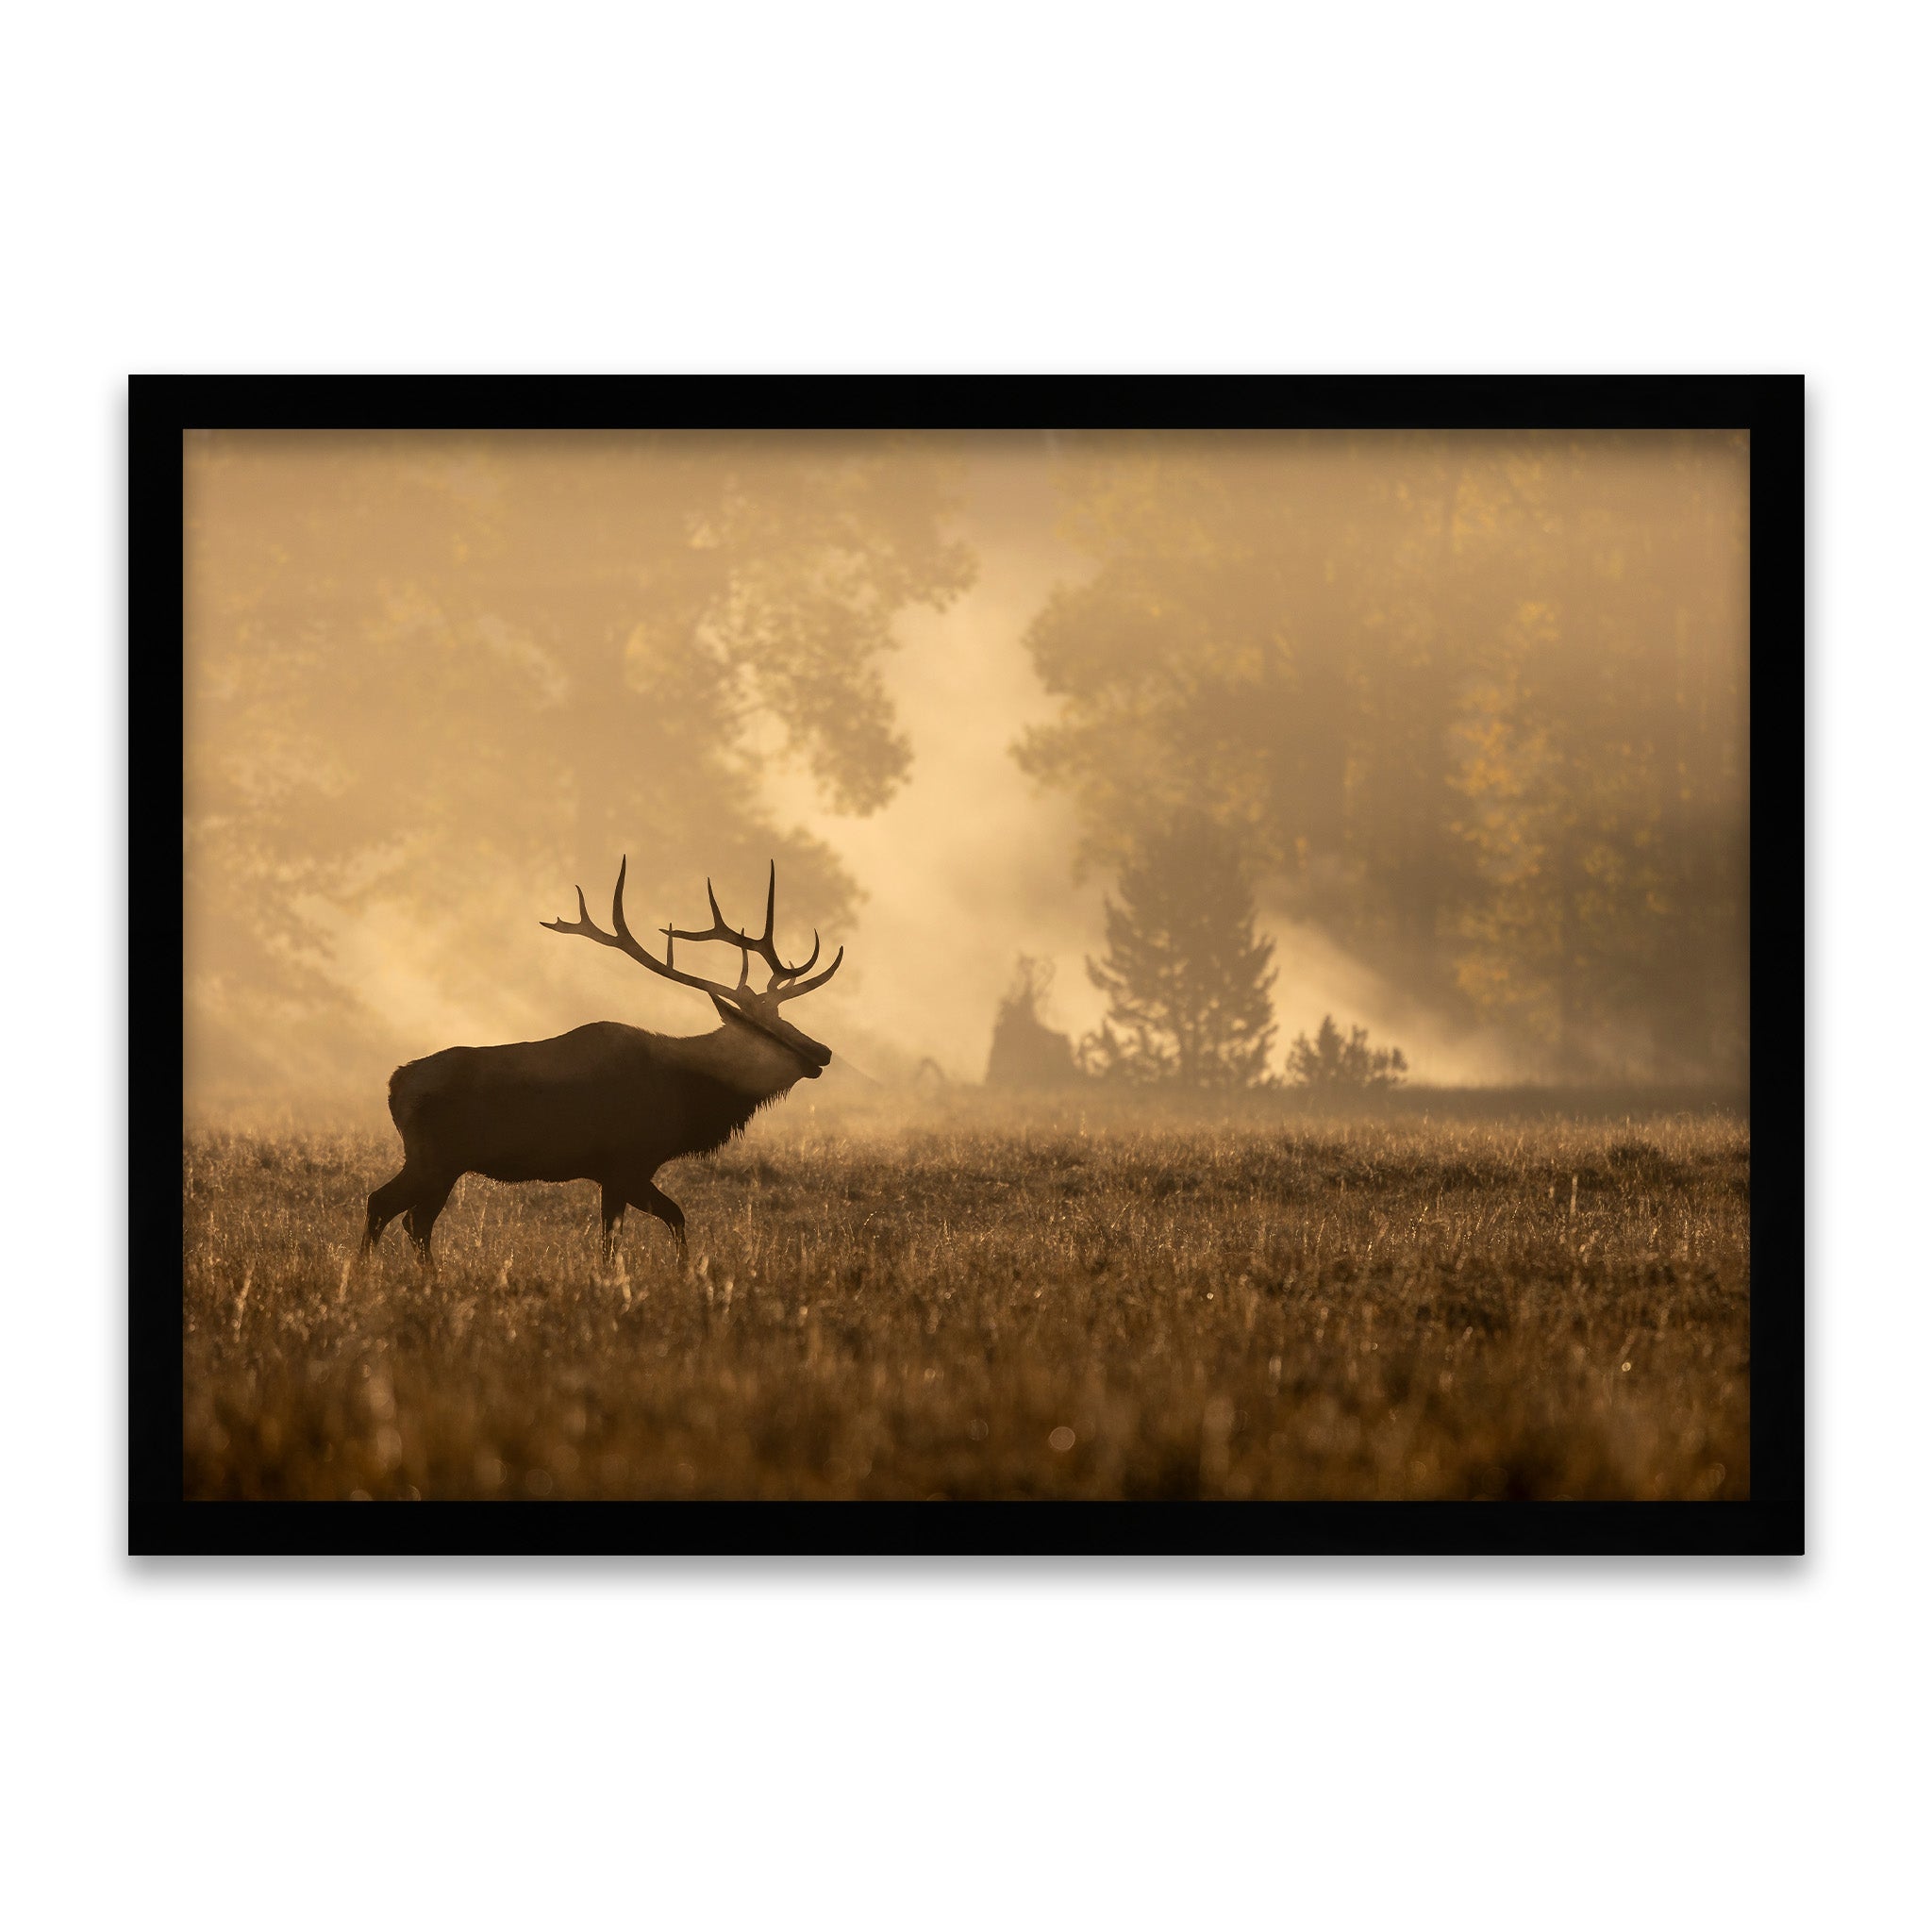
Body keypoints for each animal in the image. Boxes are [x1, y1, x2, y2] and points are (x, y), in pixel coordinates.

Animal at [361, 858, 842, 1270]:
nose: (823, 1052)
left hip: (432, 1159)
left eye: (784, 1020)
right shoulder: (629, 1163)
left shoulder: (609, 1176)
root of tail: (395, 1084)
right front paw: (685, 1273)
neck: (687, 1099)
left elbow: (611, 1243)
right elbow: (674, 1218)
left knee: (402, 1215)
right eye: (768, 1032)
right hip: (436, 1158)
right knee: (395, 1211)